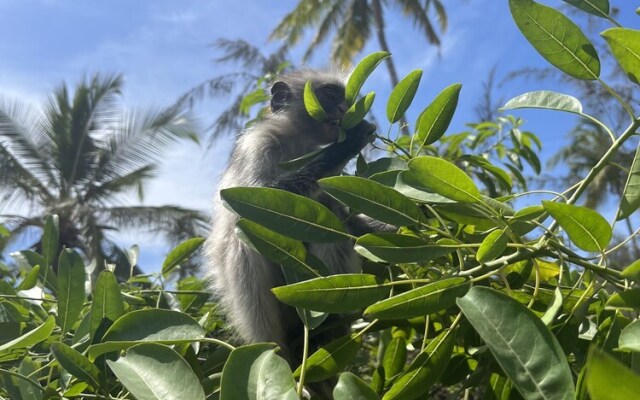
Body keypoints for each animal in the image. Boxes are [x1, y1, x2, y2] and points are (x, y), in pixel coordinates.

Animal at [202, 69, 378, 362]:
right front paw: (350, 142)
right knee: (241, 238)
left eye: (345, 99)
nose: (345, 110)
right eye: (330, 96)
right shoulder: (258, 143)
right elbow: (252, 204)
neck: (297, 141)